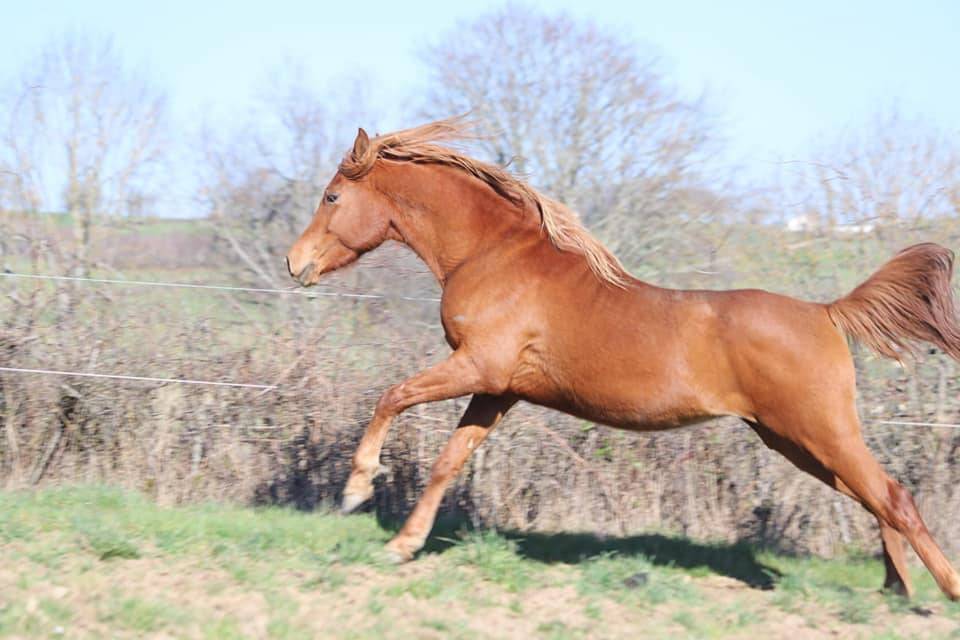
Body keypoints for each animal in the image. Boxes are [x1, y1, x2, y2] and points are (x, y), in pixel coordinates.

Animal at [285, 117, 960, 600]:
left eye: (332, 195)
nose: (295, 264)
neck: (493, 256)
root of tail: (826, 313)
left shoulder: (478, 367)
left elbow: (391, 396)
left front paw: (356, 488)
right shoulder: (498, 388)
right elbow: (449, 461)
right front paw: (402, 545)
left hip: (817, 429)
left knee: (892, 496)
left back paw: (941, 591)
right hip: (794, 439)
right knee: (874, 497)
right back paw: (896, 587)